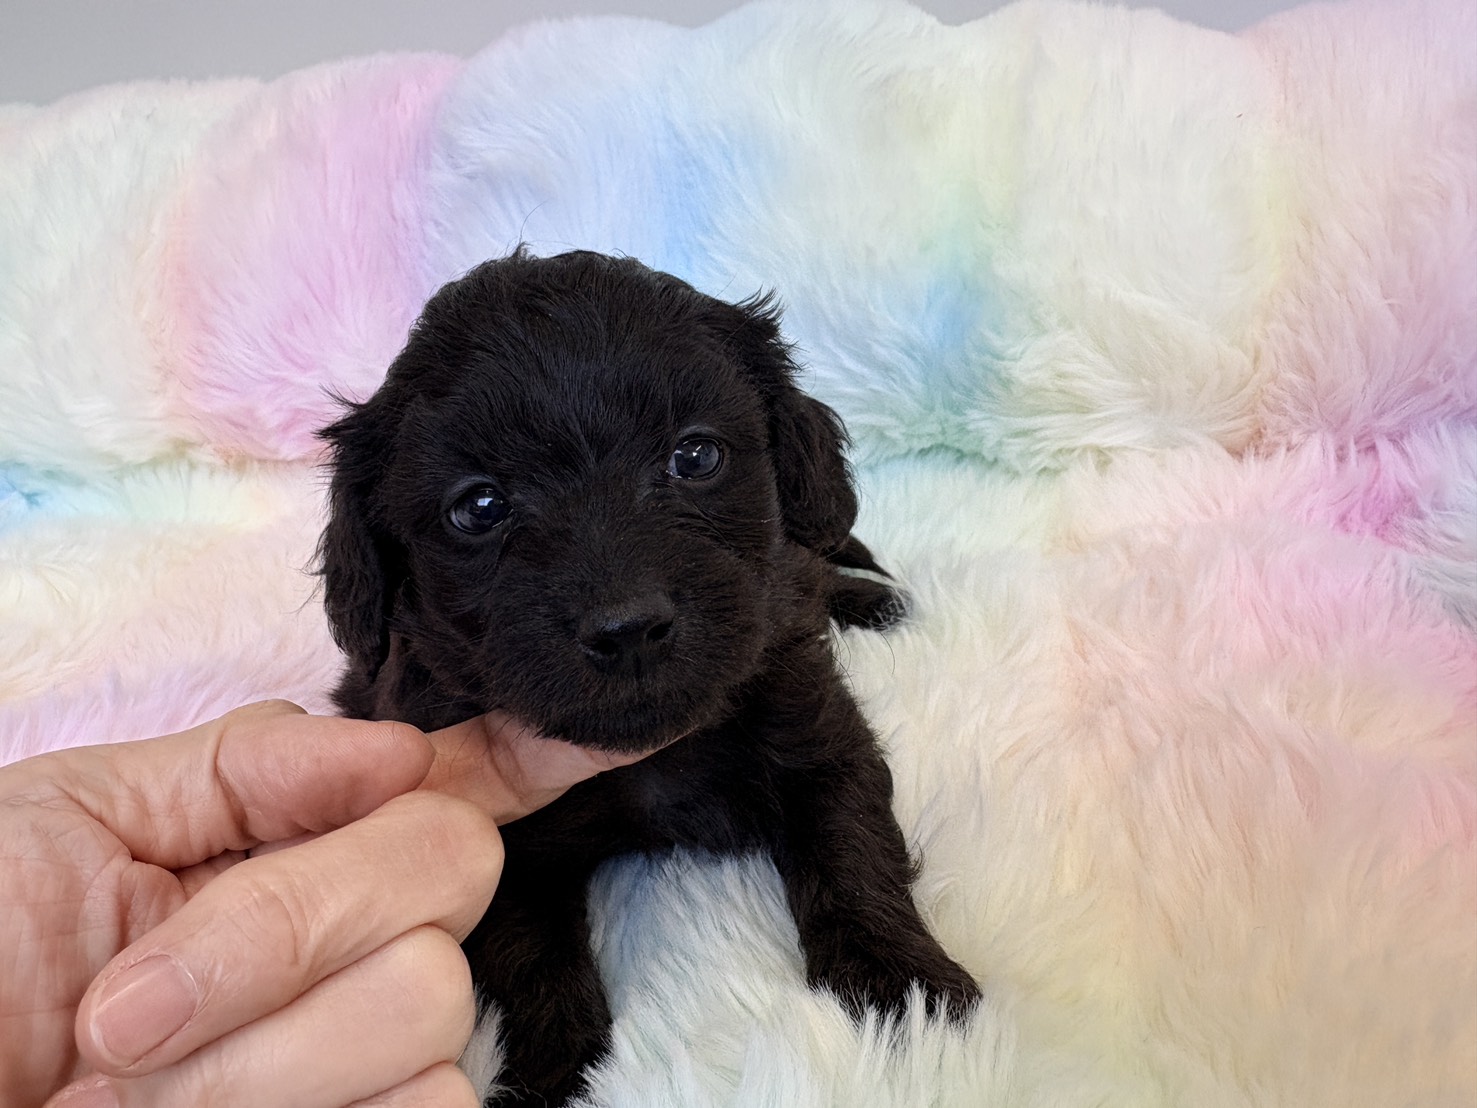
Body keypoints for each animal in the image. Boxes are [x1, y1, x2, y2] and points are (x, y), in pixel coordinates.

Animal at [318, 249, 980, 1105]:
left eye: (694, 456)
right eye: (479, 507)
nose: (627, 626)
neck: (650, 755)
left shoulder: (815, 725)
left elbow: (852, 848)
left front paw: (903, 990)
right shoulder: (483, 822)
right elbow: (531, 954)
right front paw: (550, 1074)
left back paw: (873, 600)